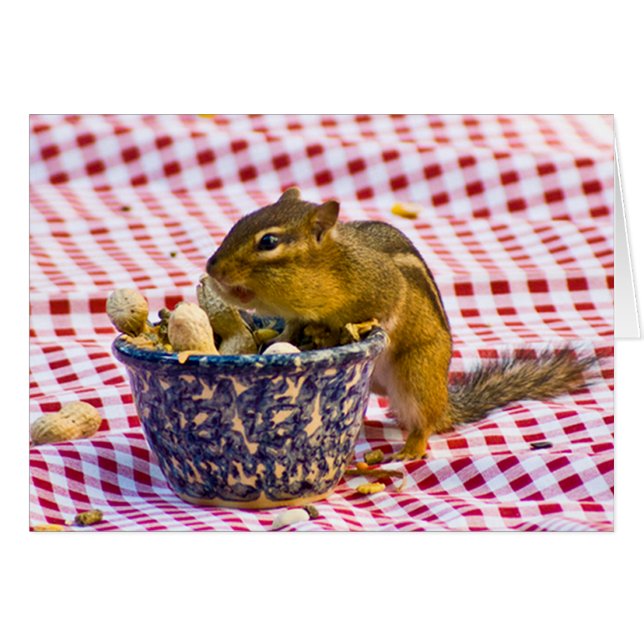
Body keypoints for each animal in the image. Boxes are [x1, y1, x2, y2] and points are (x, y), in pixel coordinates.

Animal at [206, 187, 595, 460]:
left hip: (417, 372)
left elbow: (381, 310)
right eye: (241, 220)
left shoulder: (383, 286)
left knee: (424, 422)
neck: (330, 265)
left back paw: (411, 448)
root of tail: (444, 402)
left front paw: (337, 330)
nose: (212, 267)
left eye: (269, 241)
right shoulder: (296, 314)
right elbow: (288, 327)